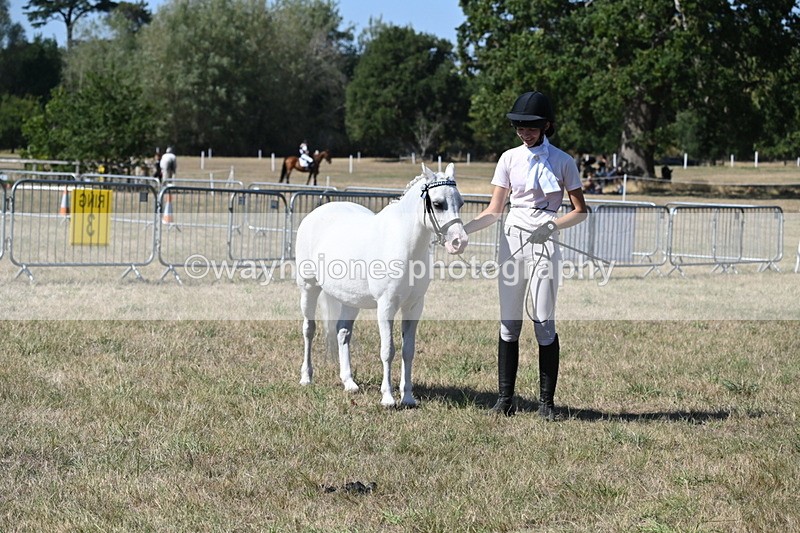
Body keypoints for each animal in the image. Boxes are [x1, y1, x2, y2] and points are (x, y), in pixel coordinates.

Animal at [295, 163, 469, 407]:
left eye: (460, 203)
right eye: (437, 204)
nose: (459, 242)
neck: (404, 244)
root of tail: (316, 213)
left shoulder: (413, 307)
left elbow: (408, 351)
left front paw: (408, 397)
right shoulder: (386, 307)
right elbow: (388, 350)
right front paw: (388, 398)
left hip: (350, 300)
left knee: (342, 332)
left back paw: (349, 383)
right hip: (308, 288)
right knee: (309, 330)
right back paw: (306, 377)